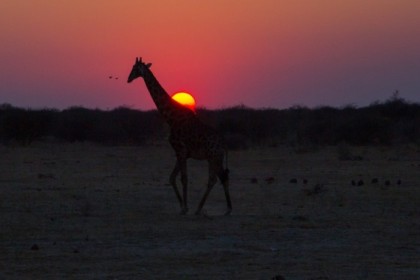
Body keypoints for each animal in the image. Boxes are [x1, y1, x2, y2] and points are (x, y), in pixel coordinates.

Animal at [128, 56, 233, 214]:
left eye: (135, 68)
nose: (128, 79)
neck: (171, 118)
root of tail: (224, 143)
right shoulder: (182, 153)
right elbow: (172, 177)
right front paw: (183, 206)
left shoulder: (180, 150)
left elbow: (183, 178)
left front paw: (185, 207)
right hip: (213, 158)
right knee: (217, 178)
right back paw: (212, 209)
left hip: (214, 157)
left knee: (218, 178)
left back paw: (213, 208)